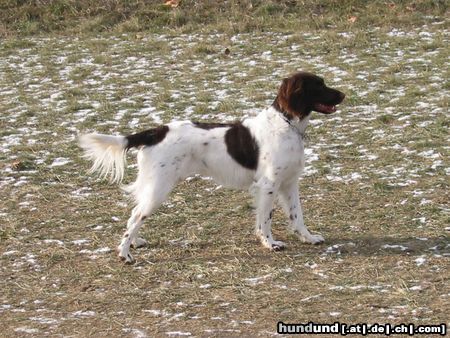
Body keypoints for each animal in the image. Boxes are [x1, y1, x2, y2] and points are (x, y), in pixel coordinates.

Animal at [79, 71, 344, 262]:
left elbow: (297, 216)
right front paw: (270, 243)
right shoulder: (268, 185)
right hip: (159, 187)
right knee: (136, 216)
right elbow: (265, 220)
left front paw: (309, 238)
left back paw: (135, 242)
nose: (343, 94)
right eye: (319, 85)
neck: (286, 123)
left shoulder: (289, 183)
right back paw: (125, 253)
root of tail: (157, 131)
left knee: (134, 214)